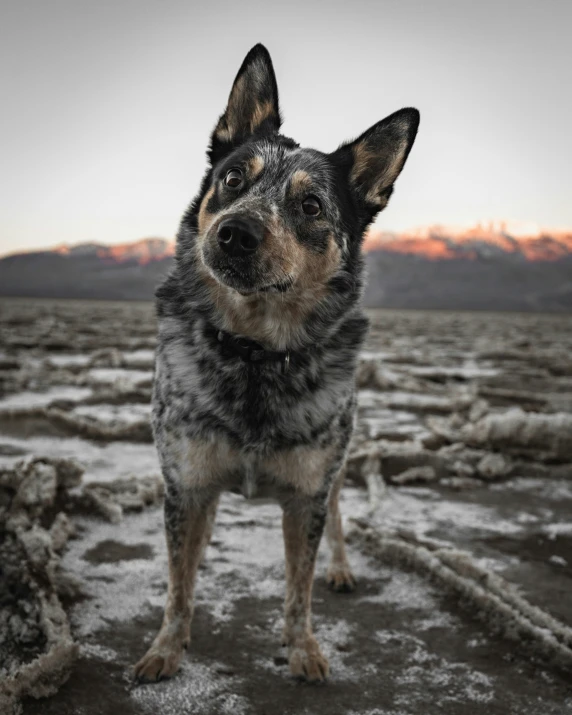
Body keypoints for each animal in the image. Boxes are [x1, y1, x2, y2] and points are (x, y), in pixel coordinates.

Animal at [135, 42, 420, 684]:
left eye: (311, 205)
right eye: (232, 178)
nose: (234, 232)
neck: (255, 352)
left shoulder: (307, 492)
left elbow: (299, 588)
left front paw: (304, 649)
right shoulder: (185, 484)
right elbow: (179, 584)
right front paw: (166, 649)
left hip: (337, 461)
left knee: (338, 515)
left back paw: (341, 568)